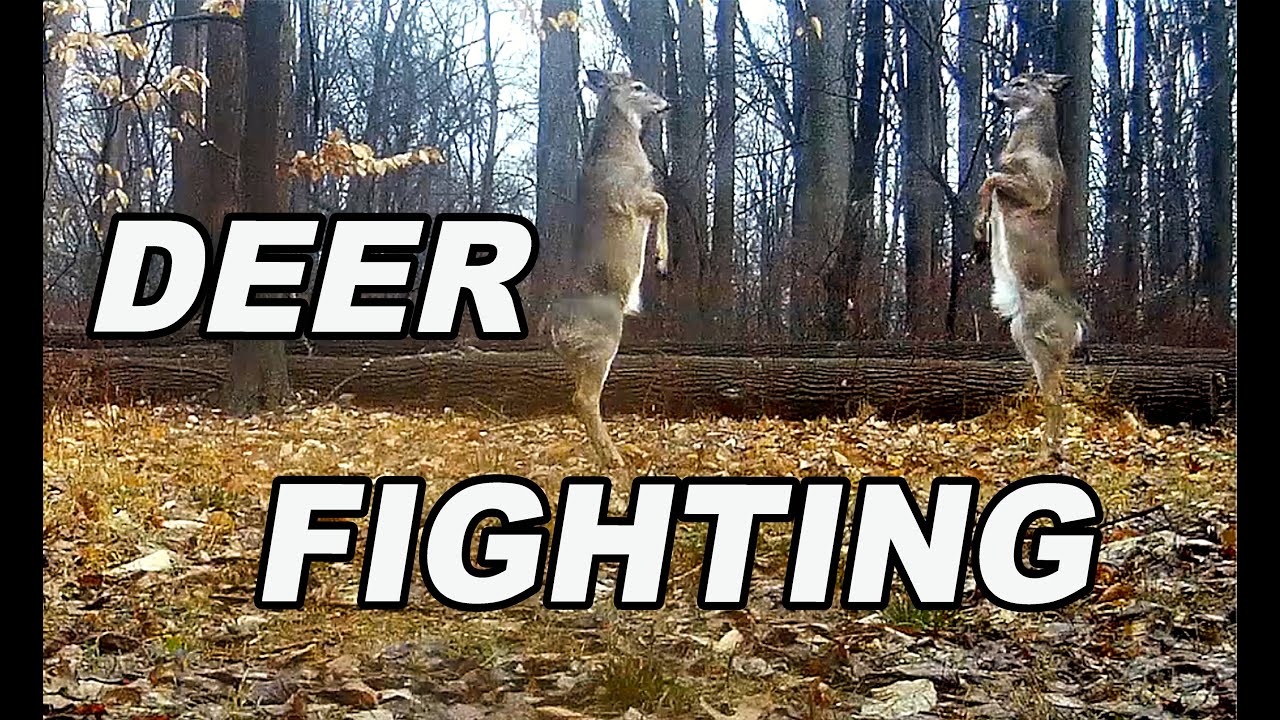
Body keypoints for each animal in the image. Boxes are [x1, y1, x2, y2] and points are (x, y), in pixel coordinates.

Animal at [540, 68, 670, 468]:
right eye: (638, 86)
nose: (666, 103)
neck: (620, 148)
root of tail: (552, 327)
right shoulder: (630, 197)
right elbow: (663, 202)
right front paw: (660, 260)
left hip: (578, 355)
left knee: (579, 398)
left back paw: (607, 453)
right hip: (604, 341)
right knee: (584, 398)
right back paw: (614, 457)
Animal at [973, 71, 1090, 460]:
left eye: (1022, 82)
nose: (995, 94)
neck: (1028, 148)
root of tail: (1078, 326)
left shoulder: (1038, 188)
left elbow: (989, 178)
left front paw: (978, 230)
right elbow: (990, 177)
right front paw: (980, 237)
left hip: (1034, 335)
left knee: (1055, 396)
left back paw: (1043, 455)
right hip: (1022, 337)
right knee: (1058, 393)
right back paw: (1056, 450)